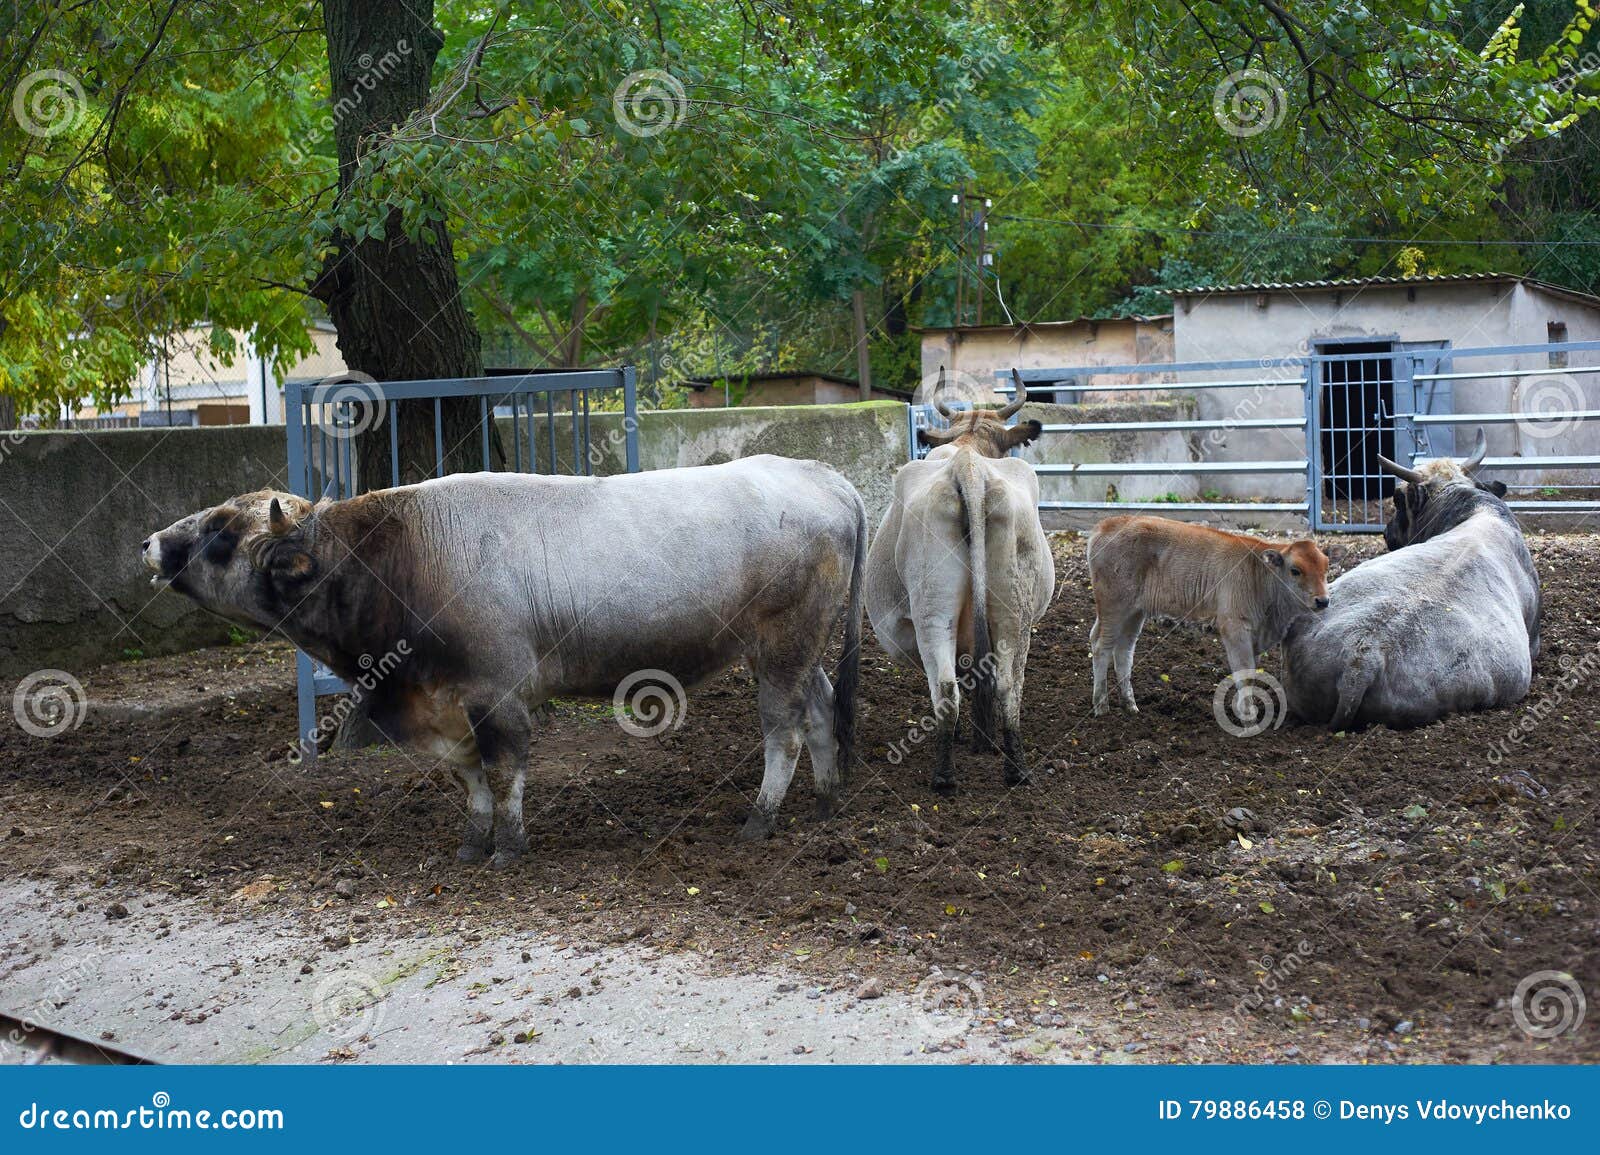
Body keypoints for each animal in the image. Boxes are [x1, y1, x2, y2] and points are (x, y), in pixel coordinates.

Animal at [142, 457, 866, 864]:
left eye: (221, 533)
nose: (151, 542)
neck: (401, 557)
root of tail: (821, 475)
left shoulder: (497, 696)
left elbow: (505, 769)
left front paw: (509, 848)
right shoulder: (446, 703)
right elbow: (470, 780)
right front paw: (472, 842)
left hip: (782, 647)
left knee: (784, 731)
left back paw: (760, 821)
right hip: (794, 649)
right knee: (821, 709)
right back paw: (827, 801)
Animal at [865, 369, 1053, 790]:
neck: (969, 444)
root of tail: (968, 467)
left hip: (934, 612)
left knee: (948, 691)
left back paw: (945, 775)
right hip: (1013, 613)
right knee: (1006, 687)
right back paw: (1014, 770)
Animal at [1086, 516, 1330, 715]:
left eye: (1326, 568)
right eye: (1295, 570)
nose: (1323, 600)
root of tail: (1107, 524)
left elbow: (1252, 672)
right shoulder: (1234, 628)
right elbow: (1244, 671)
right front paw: (1247, 714)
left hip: (1134, 612)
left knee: (1123, 650)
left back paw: (1130, 705)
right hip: (1113, 606)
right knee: (1101, 646)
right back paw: (1101, 706)